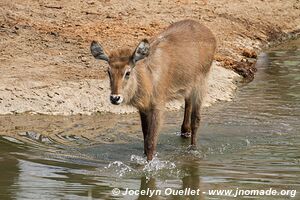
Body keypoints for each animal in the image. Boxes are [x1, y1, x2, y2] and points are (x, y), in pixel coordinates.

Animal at [90, 19, 217, 160]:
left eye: (127, 72)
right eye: (108, 72)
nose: (115, 98)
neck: (148, 78)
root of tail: (208, 31)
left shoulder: (158, 106)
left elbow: (151, 142)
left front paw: (149, 163)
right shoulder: (143, 108)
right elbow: (145, 139)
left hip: (200, 85)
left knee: (196, 119)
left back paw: (193, 149)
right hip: (189, 86)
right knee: (187, 108)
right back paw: (185, 132)